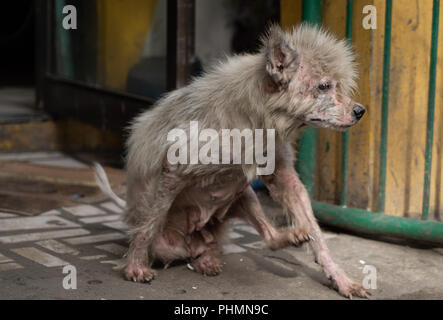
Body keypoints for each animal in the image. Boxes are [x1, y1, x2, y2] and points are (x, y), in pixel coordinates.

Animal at [95, 23, 370, 298]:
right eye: (324, 86)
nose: (361, 111)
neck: (258, 121)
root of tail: (193, 241)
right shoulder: (173, 171)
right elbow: (148, 225)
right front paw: (135, 267)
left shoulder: (287, 180)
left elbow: (317, 235)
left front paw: (341, 279)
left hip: (244, 193)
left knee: (269, 239)